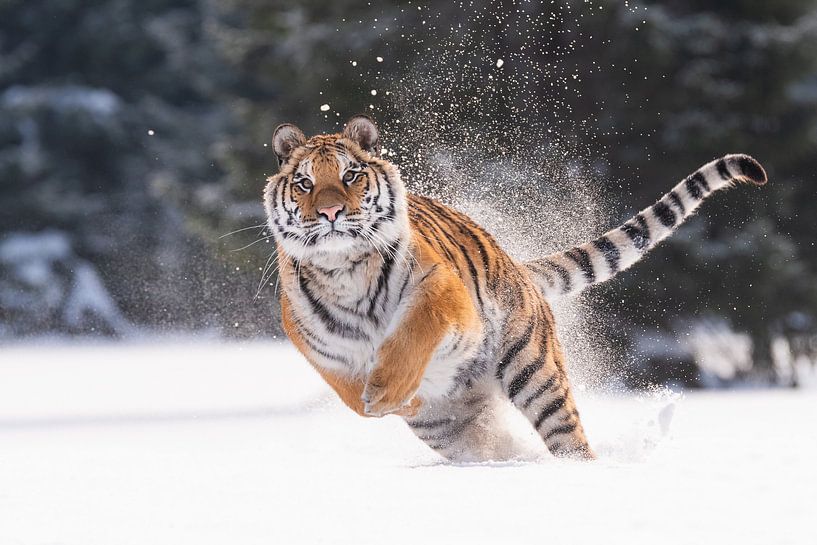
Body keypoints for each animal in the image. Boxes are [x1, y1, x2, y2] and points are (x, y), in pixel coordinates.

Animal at [263, 114, 767, 462]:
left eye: (350, 175)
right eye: (305, 182)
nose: (329, 213)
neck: (345, 269)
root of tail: (518, 267)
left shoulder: (442, 289)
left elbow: (413, 330)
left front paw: (386, 390)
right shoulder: (318, 347)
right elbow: (350, 392)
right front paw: (385, 399)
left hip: (534, 371)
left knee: (569, 440)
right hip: (450, 428)